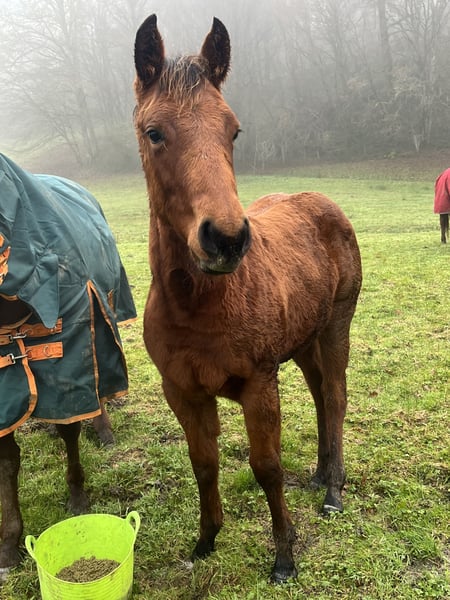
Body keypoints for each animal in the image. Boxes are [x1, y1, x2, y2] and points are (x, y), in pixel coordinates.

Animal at [0, 154, 136, 577]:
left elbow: (71, 429)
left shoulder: (70, 358)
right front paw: (8, 546)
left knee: (100, 387)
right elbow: (7, 462)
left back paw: (104, 429)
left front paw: (78, 500)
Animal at [133, 15, 362, 582]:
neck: (199, 306)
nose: (227, 239)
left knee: (336, 396)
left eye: (232, 130)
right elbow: (204, 463)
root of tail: (324, 203)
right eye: (154, 132)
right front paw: (205, 539)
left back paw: (332, 491)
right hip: (303, 340)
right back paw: (320, 474)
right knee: (320, 392)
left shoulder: (259, 385)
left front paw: (284, 556)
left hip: (336, 326)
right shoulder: (183, 391)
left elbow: (267, 467)